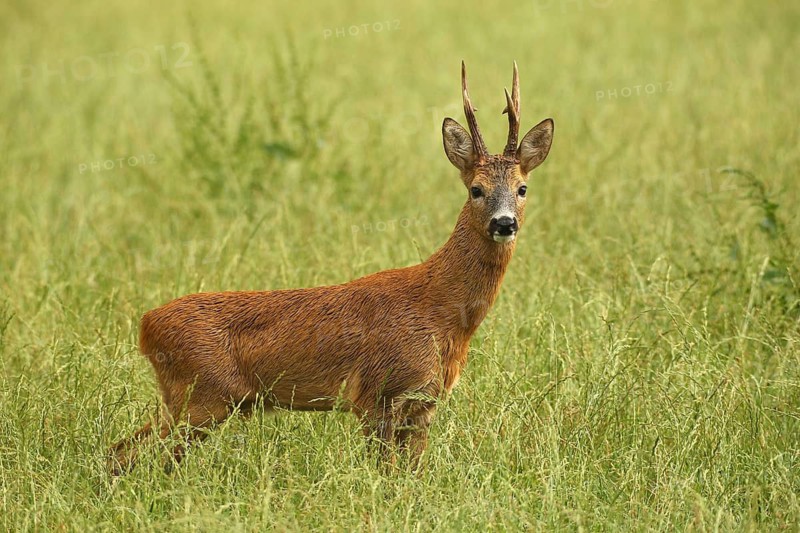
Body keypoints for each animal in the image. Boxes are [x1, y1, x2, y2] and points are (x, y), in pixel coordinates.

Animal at [109, 61, 553, 475]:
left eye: (522, 188)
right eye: (476, 189)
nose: (504, 223)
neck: (442, 313)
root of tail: (146, 325)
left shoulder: (424, 401)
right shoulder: (376, 393)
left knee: (125, 449)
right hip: (200, 396)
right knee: (130, 452)